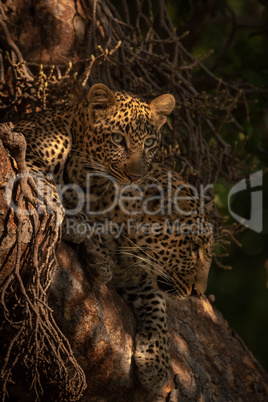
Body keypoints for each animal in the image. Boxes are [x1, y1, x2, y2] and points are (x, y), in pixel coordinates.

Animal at [70, 163, 214, 392]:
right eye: (193, 248)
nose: (199, 293)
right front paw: (99, 255)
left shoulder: (136, 278)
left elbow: (158, 304)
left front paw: (157, 361)